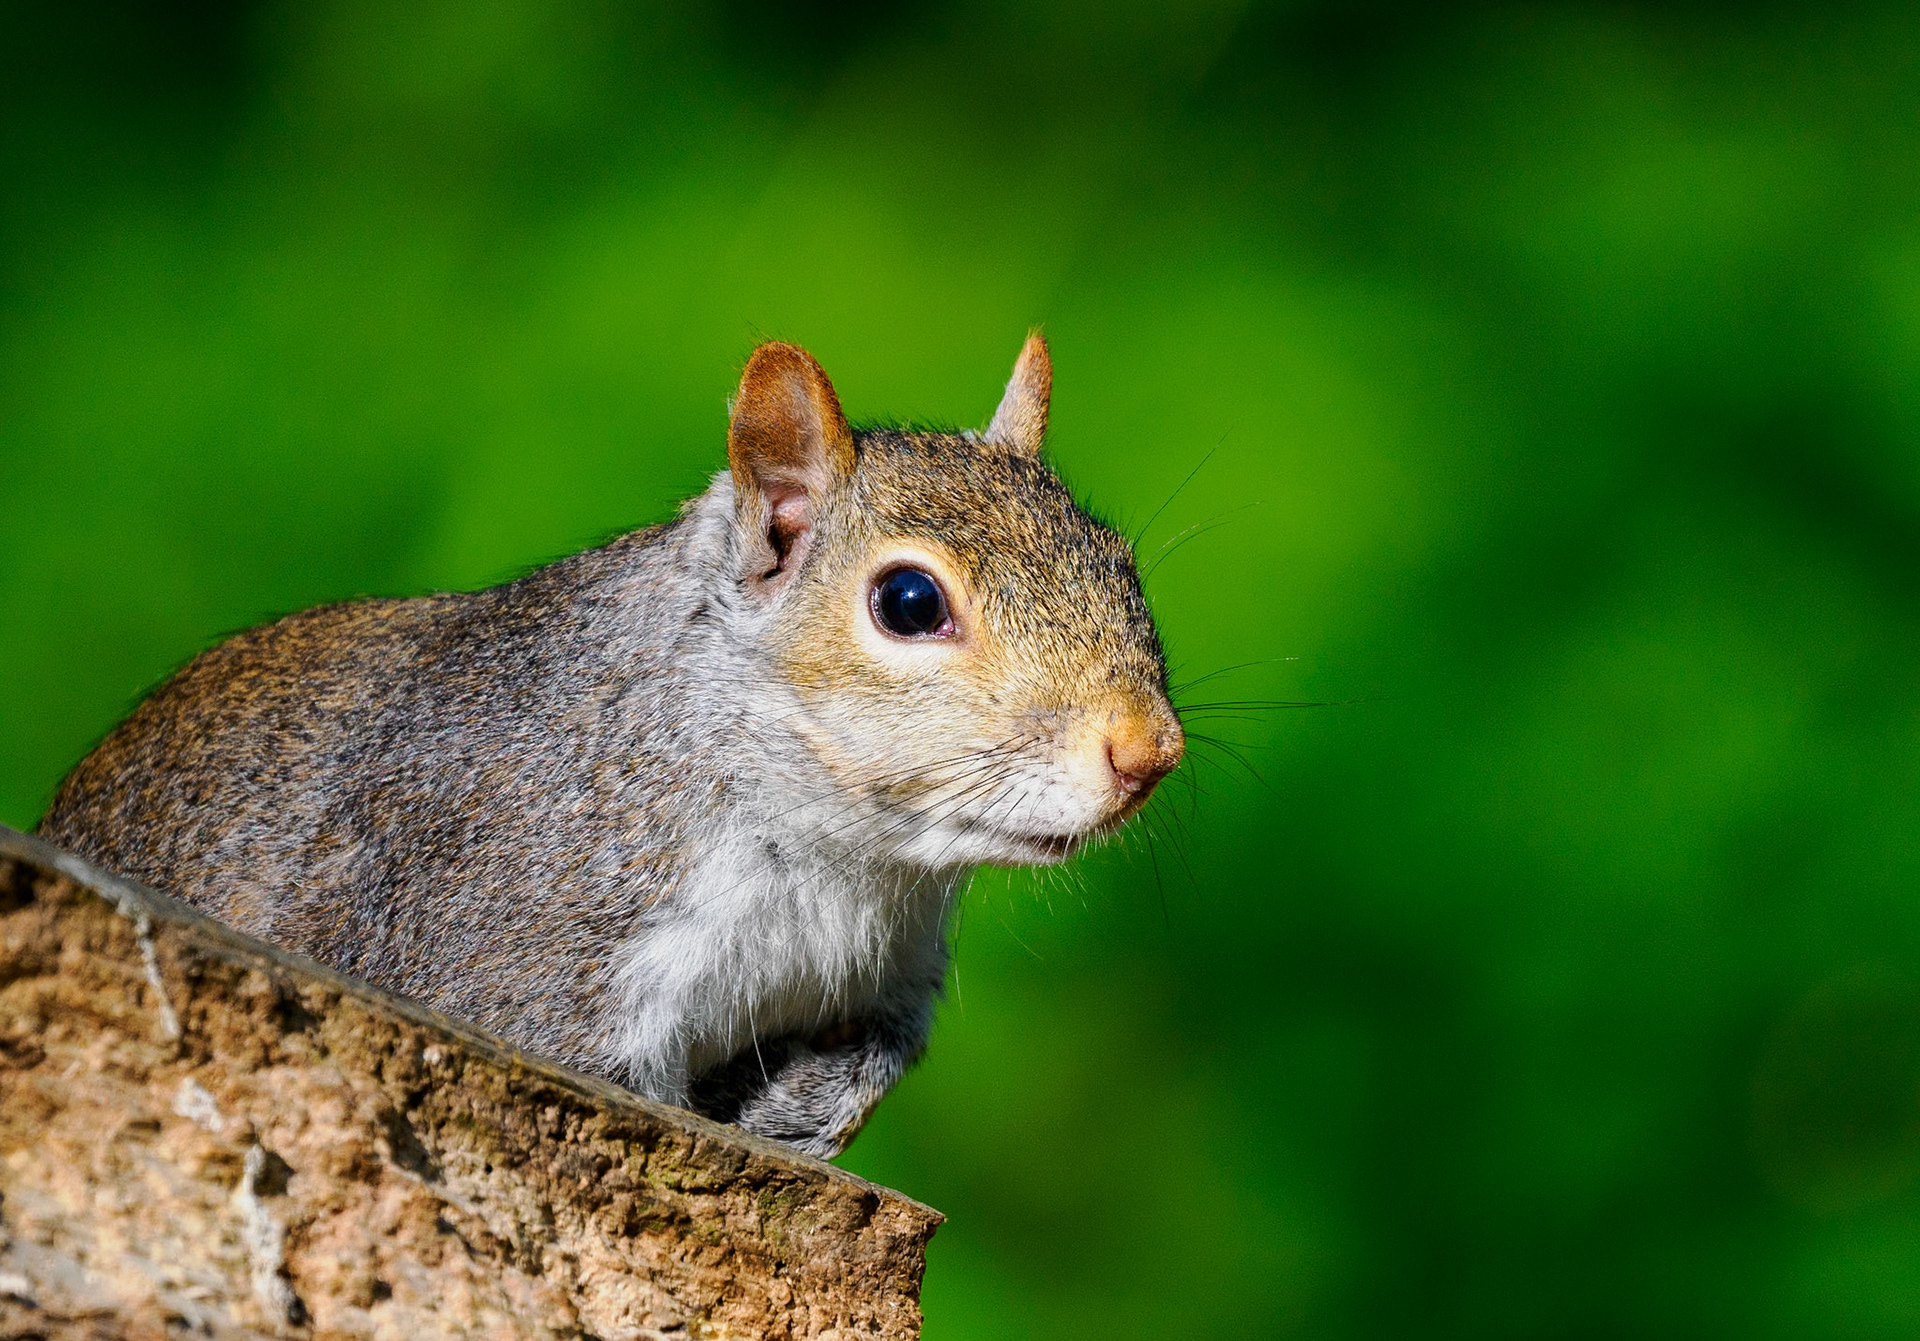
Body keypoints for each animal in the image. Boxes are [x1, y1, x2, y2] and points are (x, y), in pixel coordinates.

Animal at [38, 335, 1185, 1158]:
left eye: (1119, 564)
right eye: (909, 602)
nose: (1149, 753)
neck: (836, 860)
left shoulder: (888, 973)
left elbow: (876, 1054)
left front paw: (800, 1104)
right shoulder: (517, 950)